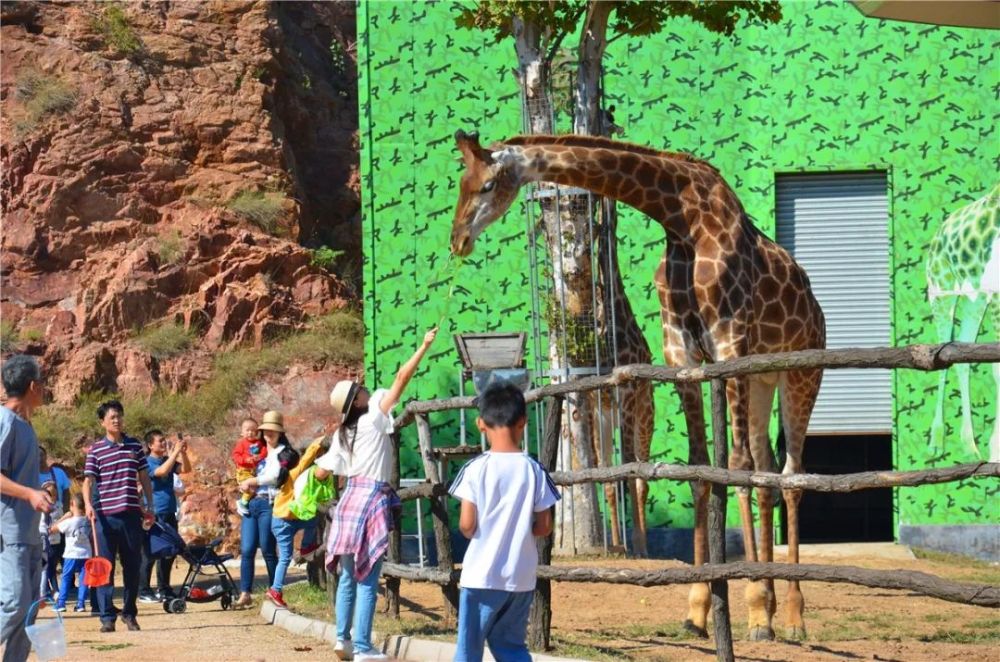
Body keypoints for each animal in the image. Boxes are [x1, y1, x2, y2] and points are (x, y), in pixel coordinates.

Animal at [450, 131, 824, 644]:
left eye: (487, 185)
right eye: (460, 182)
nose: (458, 240)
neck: (681, 219)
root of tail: (816, 308)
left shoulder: (729, 344)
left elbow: (735, 467)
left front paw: (753, 611)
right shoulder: (682, 354)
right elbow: (703, 469)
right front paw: (698, 608)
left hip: (801, 373)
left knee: (790, 476)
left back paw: (790, 615)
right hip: (762, 377)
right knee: (767, 471)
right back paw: (770, 602)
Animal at [924, 182, 996, 462]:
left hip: (976, 299)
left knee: (963, 351)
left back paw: (970, 446)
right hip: (943, 293)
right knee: (943, 353)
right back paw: (939, 441)